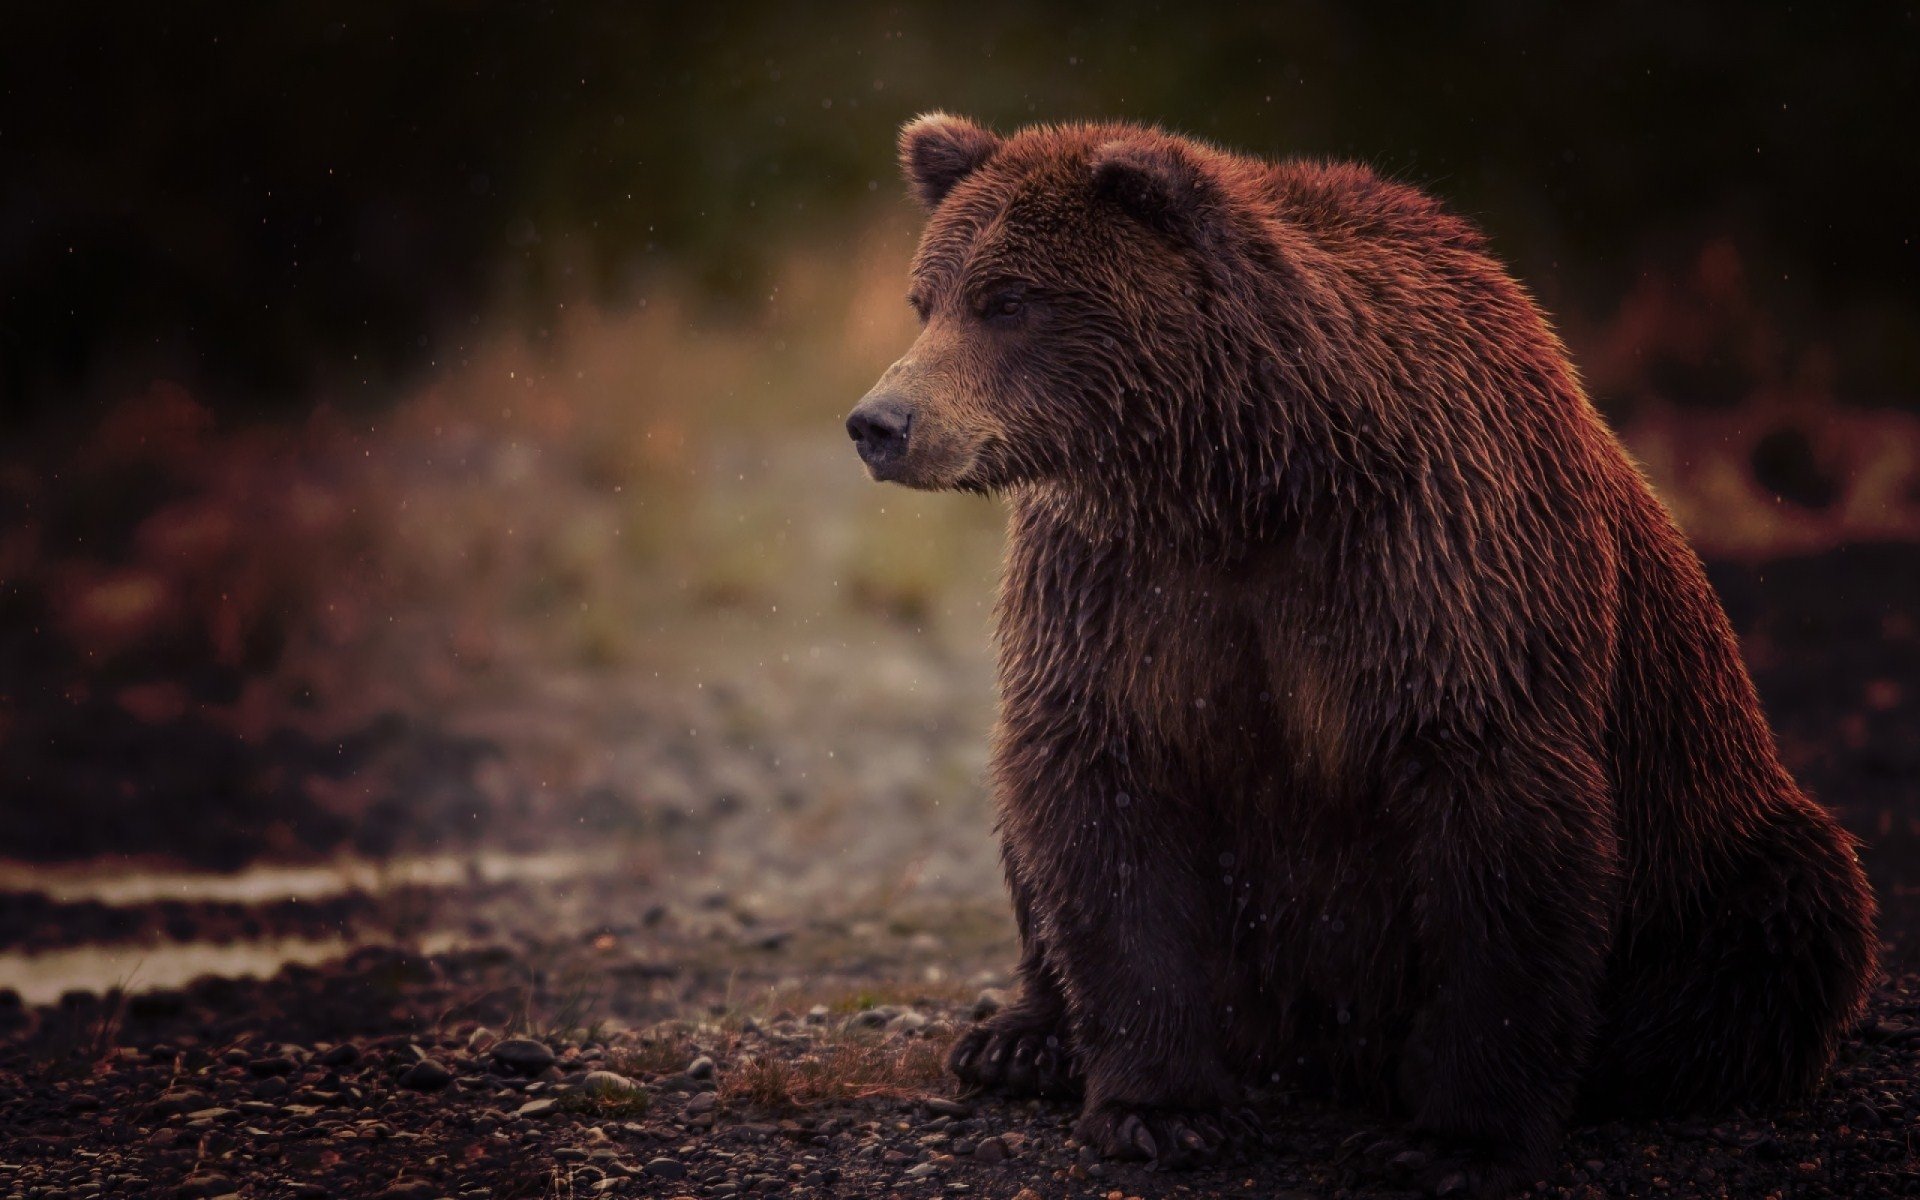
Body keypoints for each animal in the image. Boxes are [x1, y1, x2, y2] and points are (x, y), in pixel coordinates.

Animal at [845, 114, 1877, 1196]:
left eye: (1008, 300)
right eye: (927, 298)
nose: (881, 423)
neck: (1244, 479)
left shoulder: (1441, 569)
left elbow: (1497, 838)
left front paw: (1452, 1140)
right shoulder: (1121, 589)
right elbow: (1101, 797)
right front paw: (1161, 1109)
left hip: (1717, 849)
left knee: (1781, 928)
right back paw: (1021, 1040)